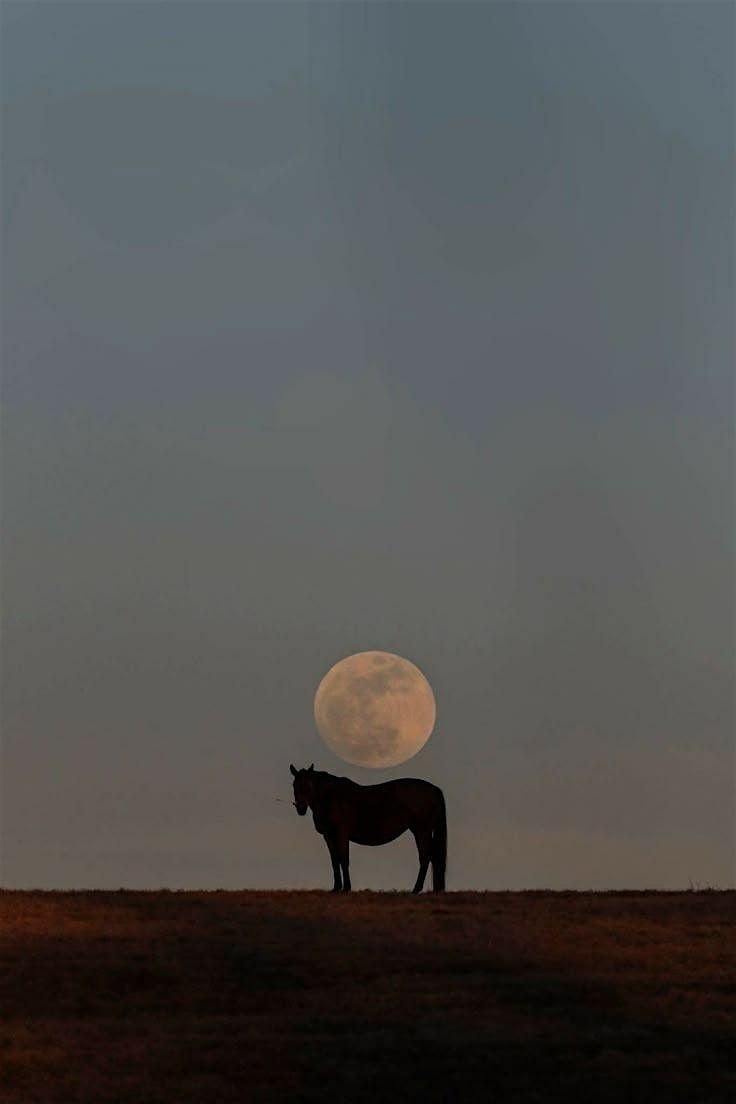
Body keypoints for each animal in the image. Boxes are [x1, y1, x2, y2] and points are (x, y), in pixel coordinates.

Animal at [290, 764, 447, 893]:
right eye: (294, 785)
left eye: (308, 785)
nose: (301, 807)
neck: (330, 797)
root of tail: (433, 789)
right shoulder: (328, 835)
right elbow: (335, 860)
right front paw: (336, 888)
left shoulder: (341, 833)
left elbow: (344, 859)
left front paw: (346, 888)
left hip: (422, 830)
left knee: (426, 856)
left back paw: (416, 889)